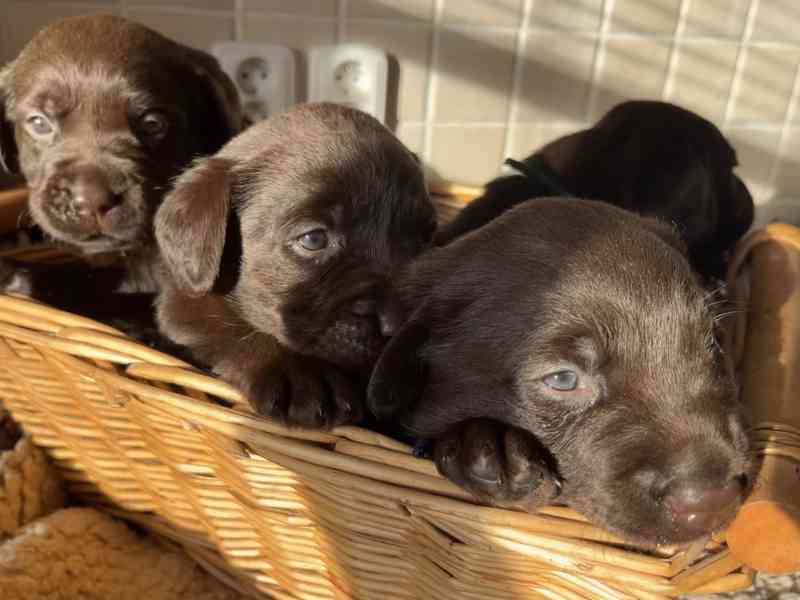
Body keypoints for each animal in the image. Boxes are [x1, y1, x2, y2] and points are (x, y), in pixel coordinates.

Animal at [155, 104, 438, 432]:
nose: (398, 326)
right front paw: (301, 374)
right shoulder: (182, 304)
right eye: (314, 238)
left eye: (425, 239)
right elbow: (226, 326)